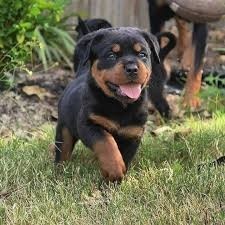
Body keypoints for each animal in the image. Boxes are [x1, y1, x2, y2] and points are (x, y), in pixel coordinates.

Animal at [54, 27, 160, 182]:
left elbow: (124, 157)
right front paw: (114, 169)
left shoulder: (132, 134)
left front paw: (115, 179)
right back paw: (59, 170)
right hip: (64, 128)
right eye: (111, 55)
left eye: (142, 54)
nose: (132, 68)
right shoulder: (89, 124)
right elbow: (106, 143)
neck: (120, 106)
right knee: (63, 150)